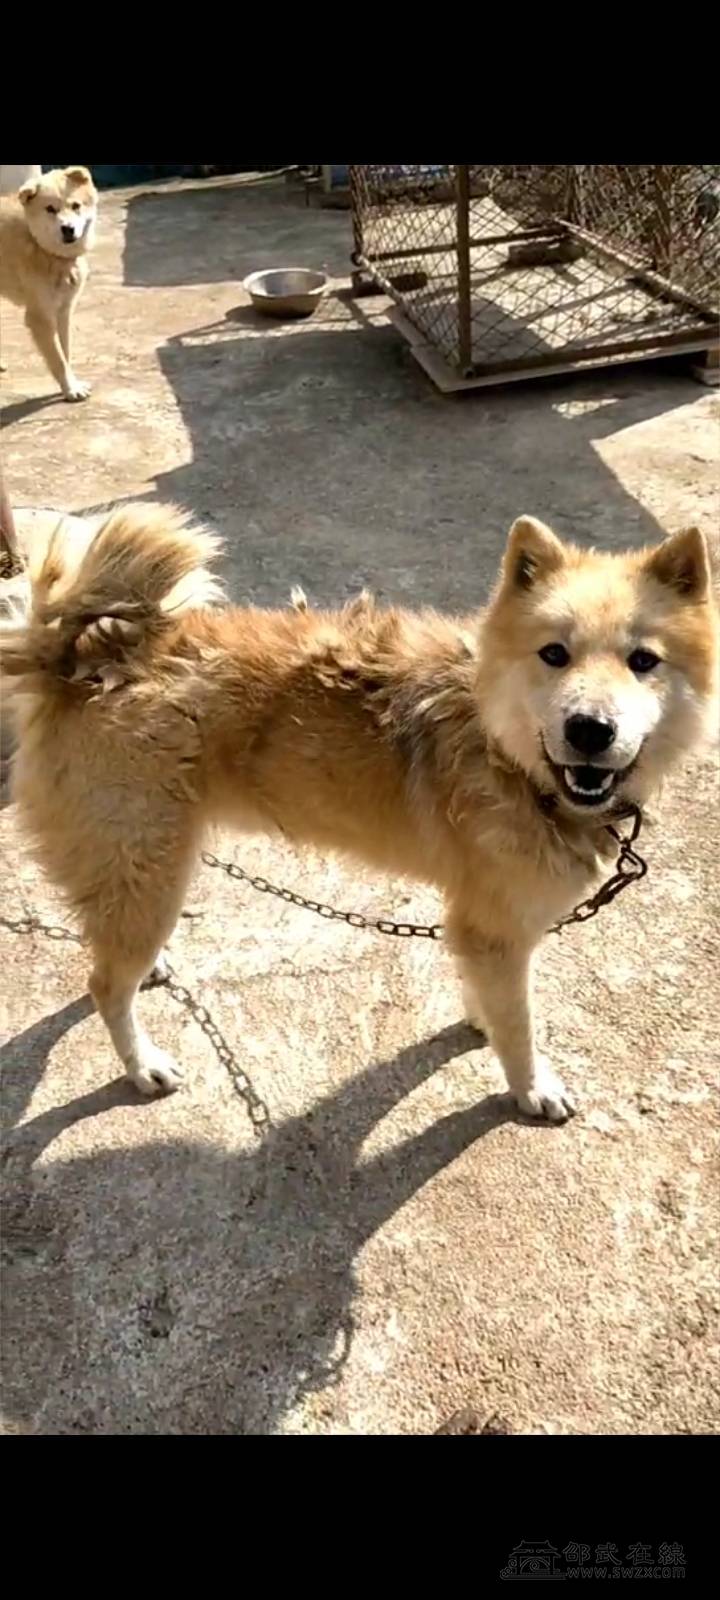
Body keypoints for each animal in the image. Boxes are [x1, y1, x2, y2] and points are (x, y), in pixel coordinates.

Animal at [0, 166, 97, 401]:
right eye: (50, 209)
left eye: (76, 205)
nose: (68, 228)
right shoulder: (40, 318)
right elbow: (58, 359)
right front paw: (71, 388)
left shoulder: (64, 311)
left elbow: (65, 352)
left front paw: (70, 384)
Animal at [1, 507, 716, 1118]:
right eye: (554, 653)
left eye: (643, 661)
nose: (590, 729)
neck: (500, 749)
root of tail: (81, 663)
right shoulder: (499, 932)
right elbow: (520, 1028)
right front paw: (531, 1087)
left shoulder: (477, 922)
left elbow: (485, 994)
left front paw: (482, 1020)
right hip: (151, 869)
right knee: (103, 985)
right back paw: (141, 1063)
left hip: (142, 878)